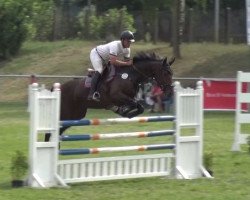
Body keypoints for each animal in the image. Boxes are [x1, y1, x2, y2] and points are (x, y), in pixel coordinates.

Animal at [44, 52, 174, 141]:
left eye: (171, 73)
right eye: (166, 73)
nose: (170, 92)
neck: (131, 75)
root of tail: (57, 88)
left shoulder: (126, 98)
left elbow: (138, 106)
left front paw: (125, 112)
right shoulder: (117, 96)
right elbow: (137, 105)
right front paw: (126, 112)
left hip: (76, 115)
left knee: (59, 130)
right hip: (65, 112)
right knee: (51, 130)